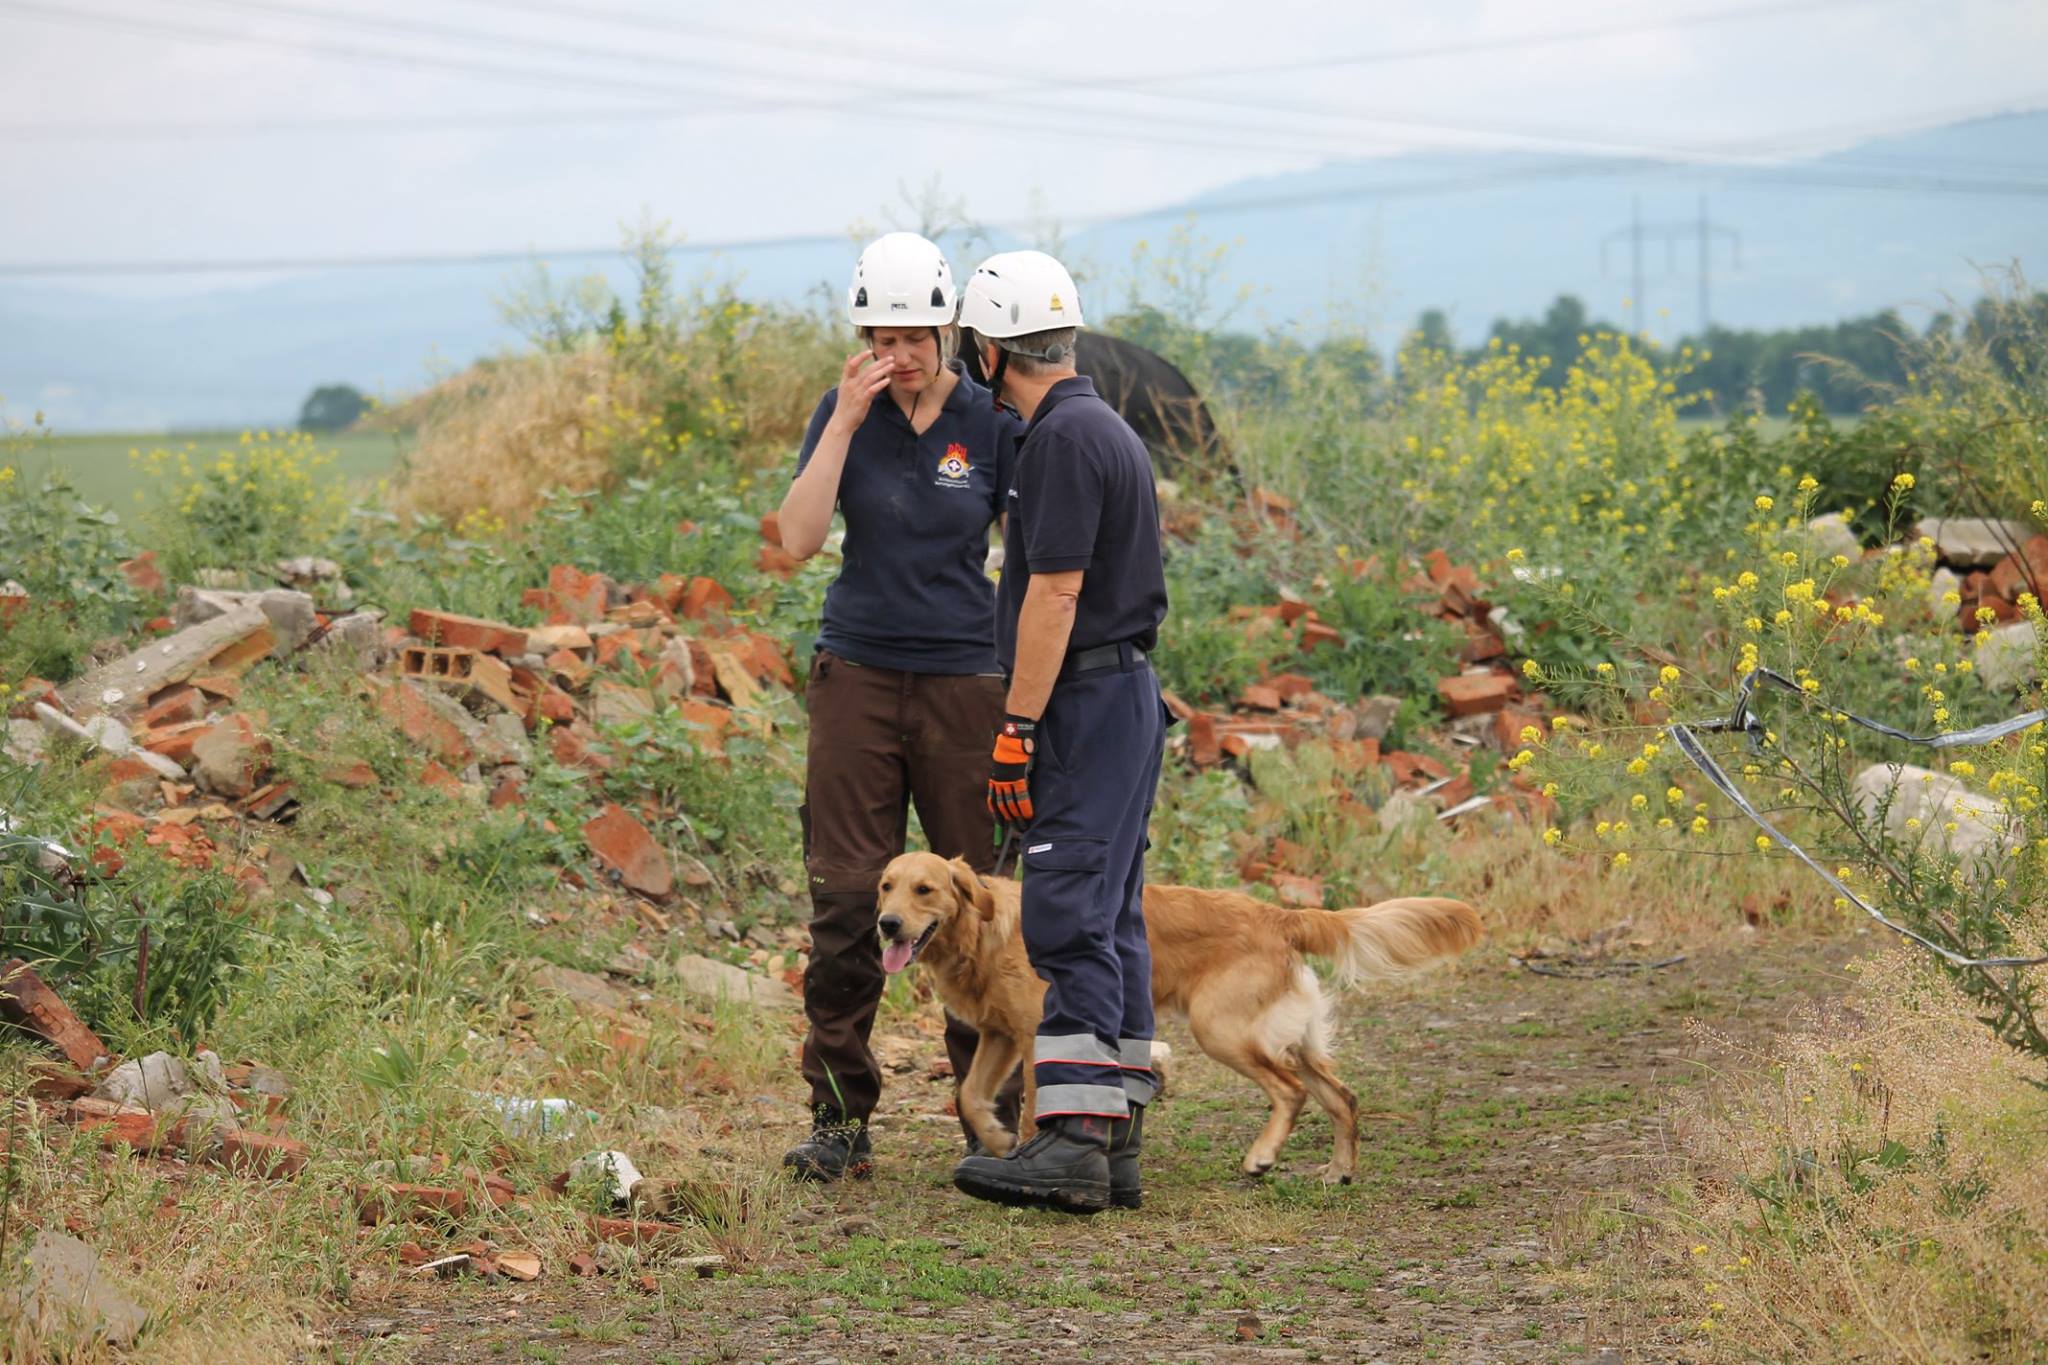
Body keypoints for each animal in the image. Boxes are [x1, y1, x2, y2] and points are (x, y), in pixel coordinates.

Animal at [872, 855, 1482, 1186]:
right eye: (886, 885)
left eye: (925, 889)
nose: (886, 924)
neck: (982, 932)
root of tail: (1279, 914)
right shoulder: (998, 1033)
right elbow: (972, 1096)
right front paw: (997, 1143)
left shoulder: (1035, 1033)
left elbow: (1029, 1108)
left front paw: (1019, 1157)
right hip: (1290, 1038)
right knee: (1342, 1096)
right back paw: (1339, 1171)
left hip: (1222, 1030)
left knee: (1291, 1092)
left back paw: (1262, 1156)